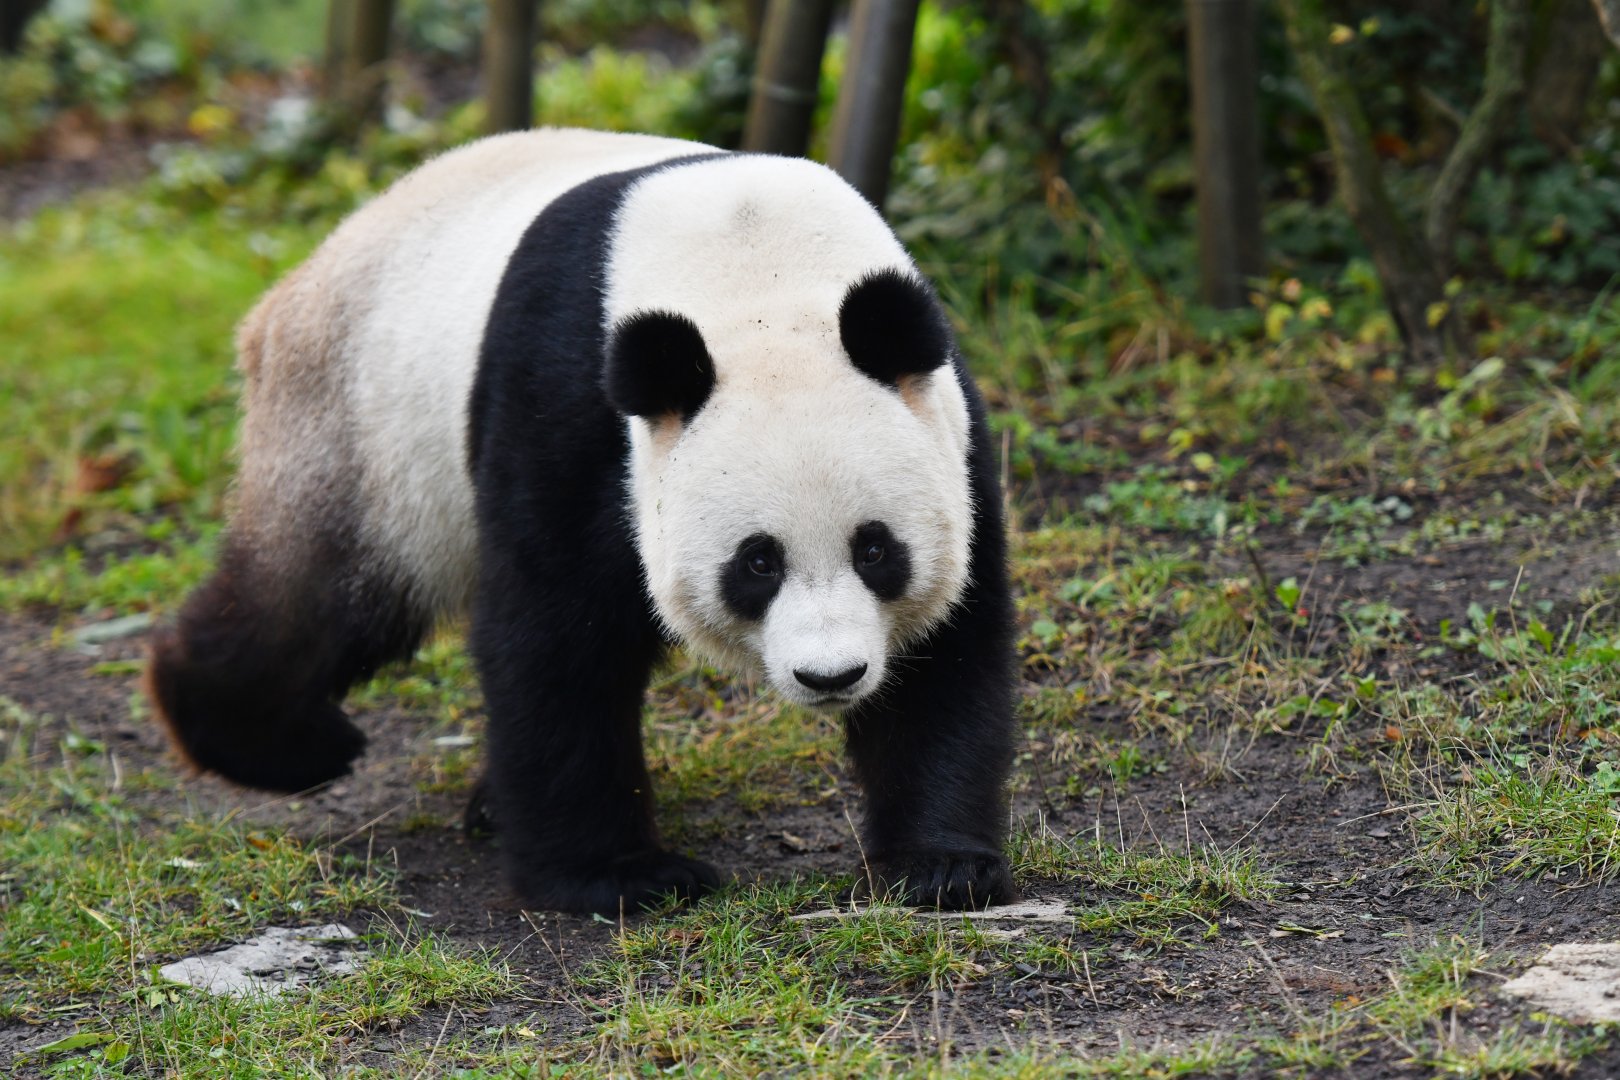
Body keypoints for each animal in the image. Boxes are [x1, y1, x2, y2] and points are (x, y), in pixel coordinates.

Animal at [145, 128, 1018, 914]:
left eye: (876, 550)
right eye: (757, 562)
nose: (830, 677)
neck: (759, 274)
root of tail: (285, 296)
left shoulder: (951, 430)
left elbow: (948, 651)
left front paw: (940, 864)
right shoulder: (570, 404)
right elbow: (556, 634)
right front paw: (621, 879)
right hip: (365, 433)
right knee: (320, 593)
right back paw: (280, 741)